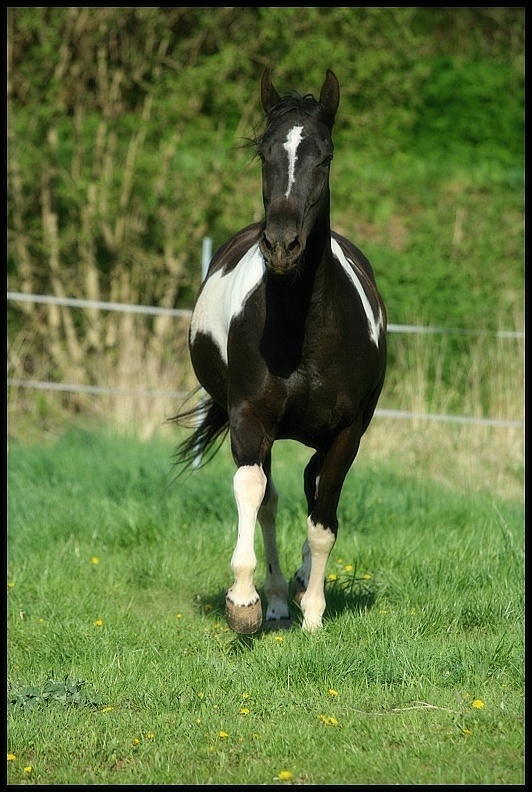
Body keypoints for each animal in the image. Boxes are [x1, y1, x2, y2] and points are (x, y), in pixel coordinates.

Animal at [175, 68, 386, 636]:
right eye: (264, 153)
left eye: (326, 156)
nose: (282, 246)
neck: (305, 338)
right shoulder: (250, 417)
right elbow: (253, 491)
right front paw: (245, 601)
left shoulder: (347, 433)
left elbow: (323, 519)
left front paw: (312, 613)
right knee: (269, 500)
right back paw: (273, 600)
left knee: (314, 491)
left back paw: (299, 584)